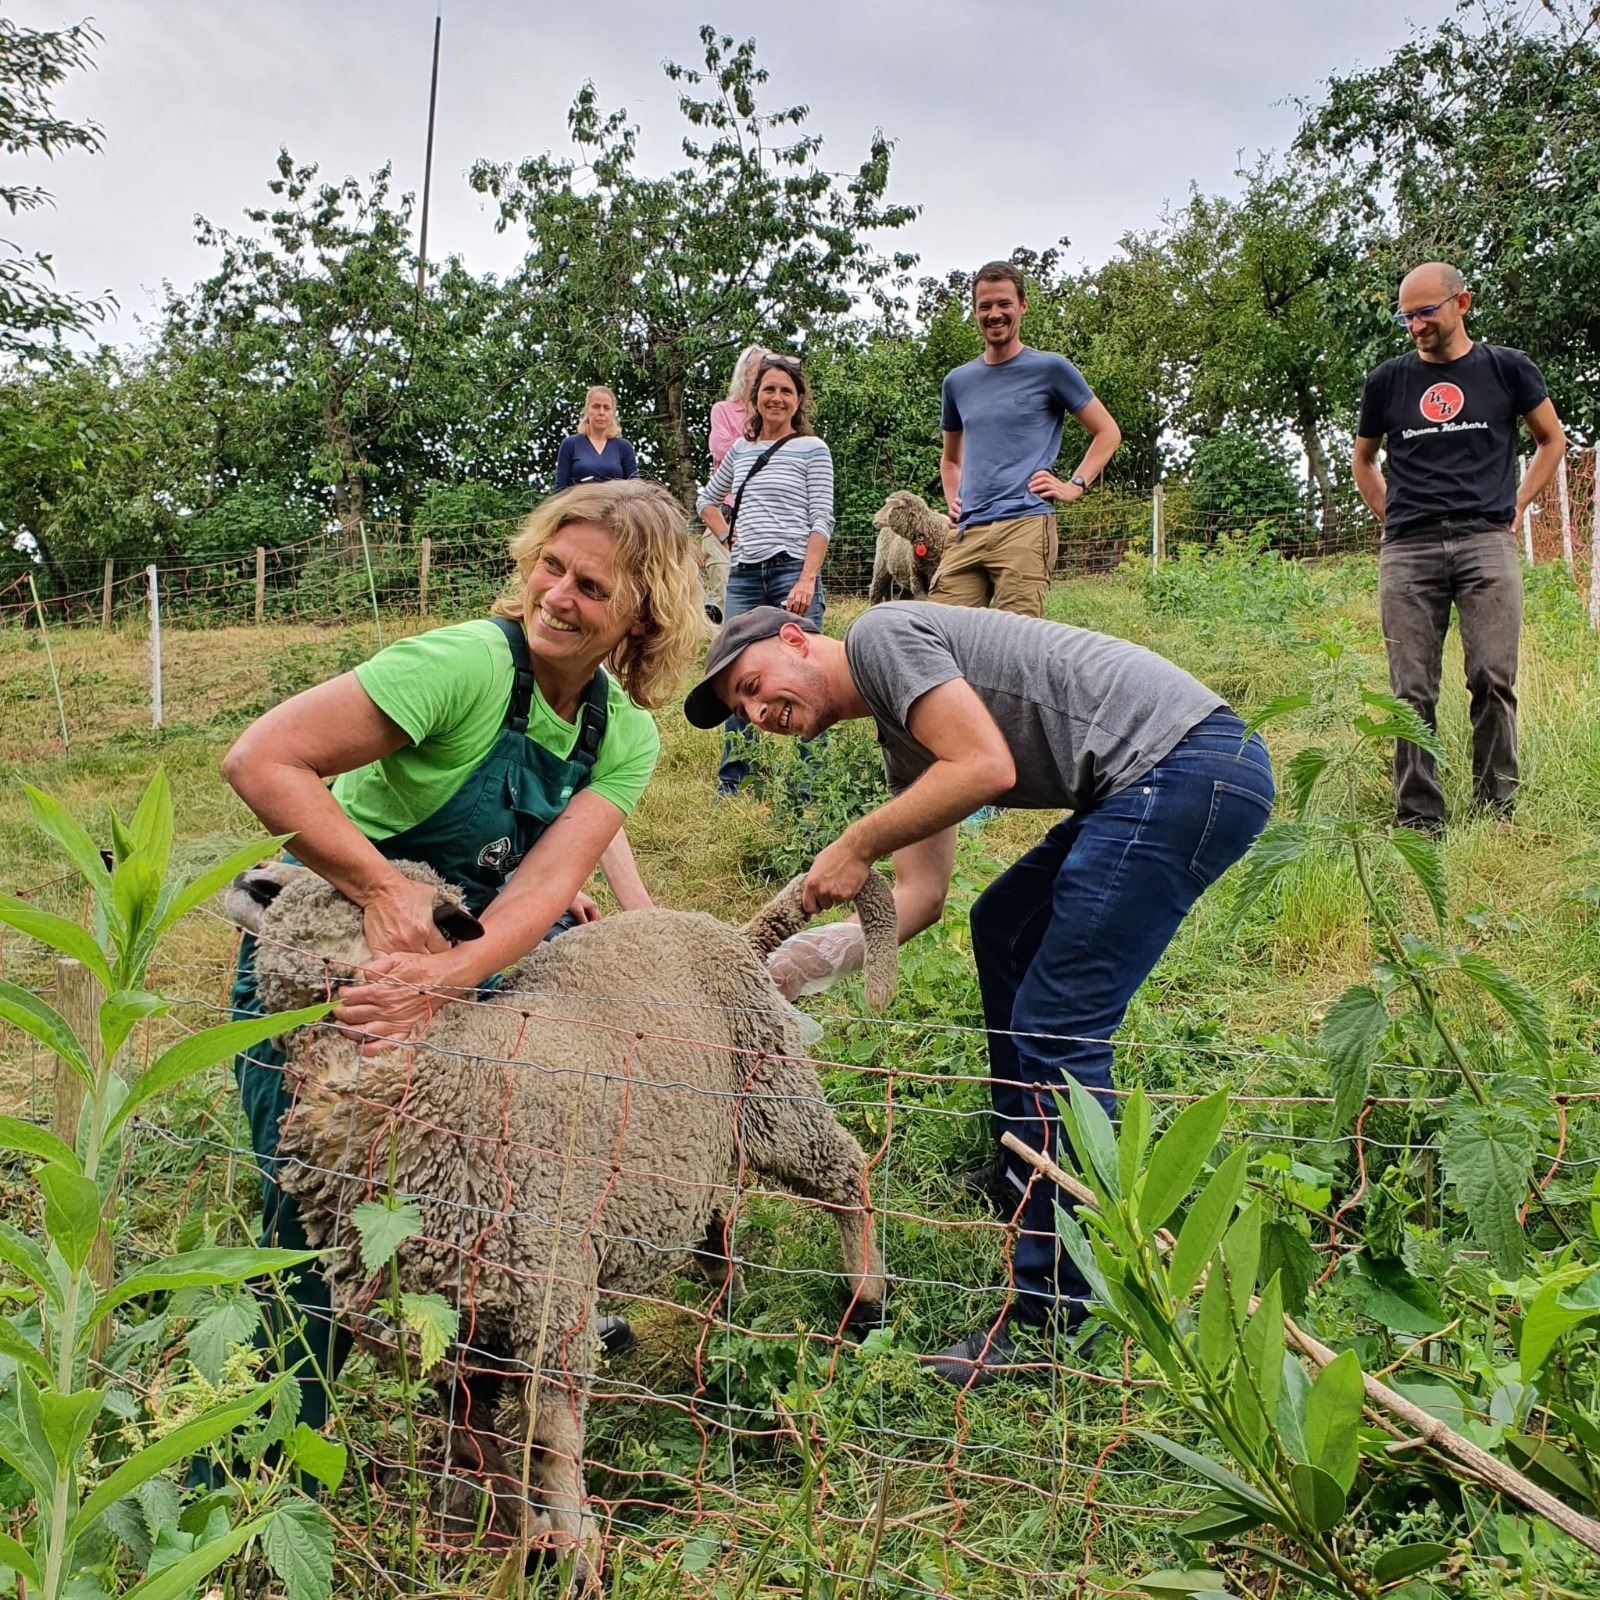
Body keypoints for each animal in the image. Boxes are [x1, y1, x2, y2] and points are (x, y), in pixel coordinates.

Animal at [227, 864, 902, 1574]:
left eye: (346, 890)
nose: (252, 875)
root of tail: (727, 930)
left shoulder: (548, 1305)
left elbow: (547, 1443)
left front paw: (578, 1556)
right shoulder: (444, 1334)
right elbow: (476, 1447)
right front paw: (525, 1539)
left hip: (774, 1089)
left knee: (844, 1174)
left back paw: (867, 1297)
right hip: (699, 1137)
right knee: (718, 1208)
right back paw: (727, 1297)